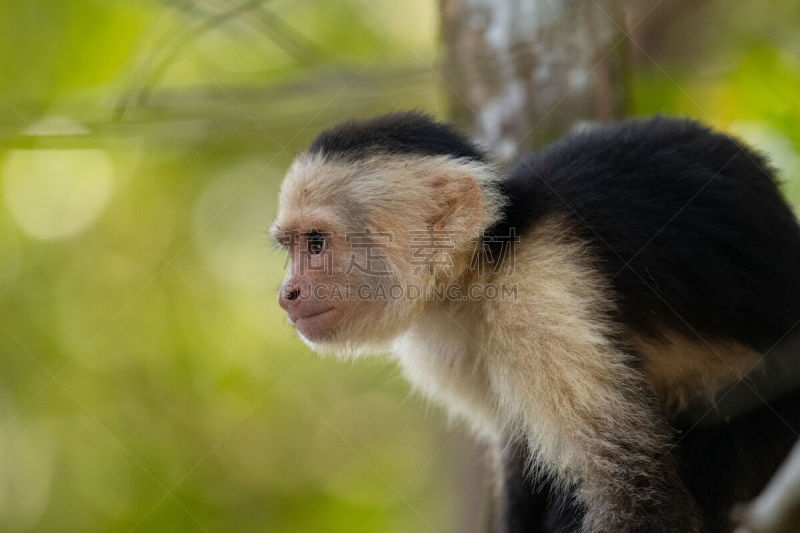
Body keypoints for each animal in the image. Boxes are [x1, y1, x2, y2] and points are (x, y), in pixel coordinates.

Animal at [272, 112, 800, 532]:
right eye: (289, 246)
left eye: (316, 243)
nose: (286, 295)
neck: (481, 270)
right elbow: (519, 458)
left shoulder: (537, 297)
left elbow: (637, 496)